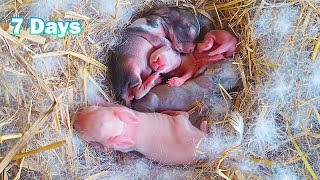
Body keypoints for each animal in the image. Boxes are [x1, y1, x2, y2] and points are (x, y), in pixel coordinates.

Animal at [73, 104, 208, 165]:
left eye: (90, 136)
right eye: (94, 108)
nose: (74, 122)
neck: (124, 128)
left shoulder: (125, 147)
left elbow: (109, 148)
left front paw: (97, 146)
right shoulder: (124, 109)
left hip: (182, 124)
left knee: (183, 114)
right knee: (185, 114)